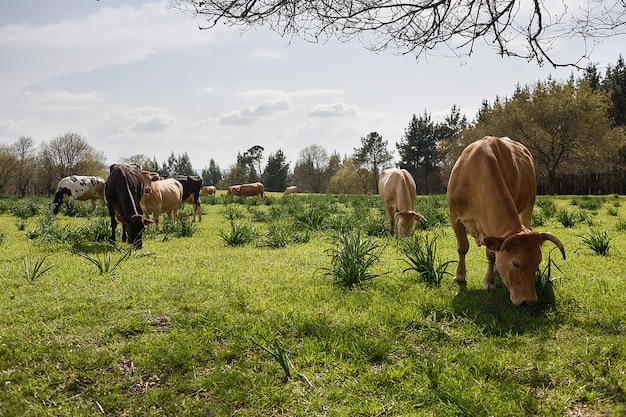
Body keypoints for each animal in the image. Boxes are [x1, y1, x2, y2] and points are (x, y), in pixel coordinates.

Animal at [444, 136, 564, 306]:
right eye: (516, 263)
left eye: (538, 263)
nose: (529, 301)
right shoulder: (455, 218)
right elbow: (462, 248)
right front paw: (460, 276)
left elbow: (491, 254)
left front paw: (489, 282)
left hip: (529, 203)